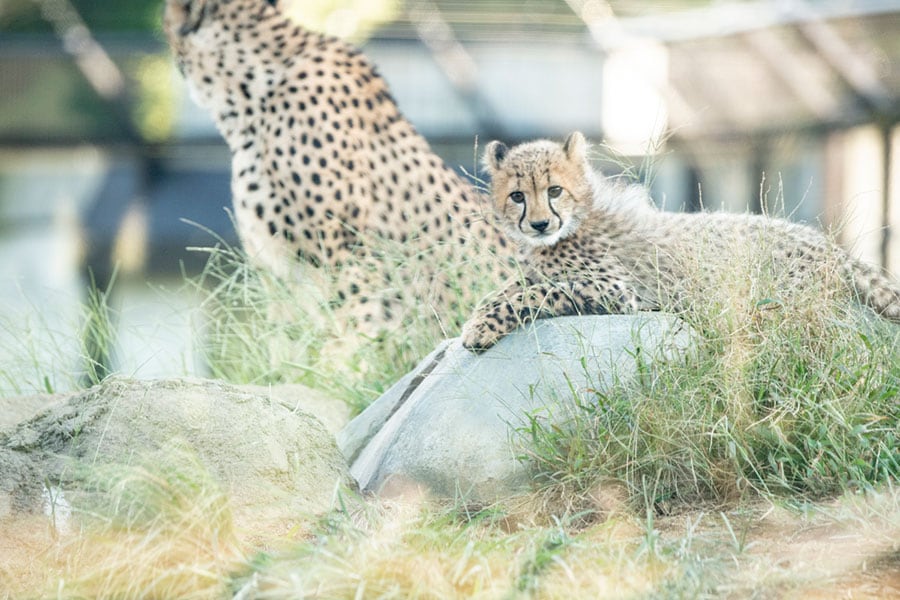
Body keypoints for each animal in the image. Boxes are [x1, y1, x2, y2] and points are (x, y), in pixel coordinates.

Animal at [464, 131, 900, 346]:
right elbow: (513, 286)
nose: (540, 225)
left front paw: (479, 328)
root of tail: (831, 247)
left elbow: (539, 293)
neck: (577, 218)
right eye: (517, 196)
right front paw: (479, 313)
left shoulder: (616, 290)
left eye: (554, 190)